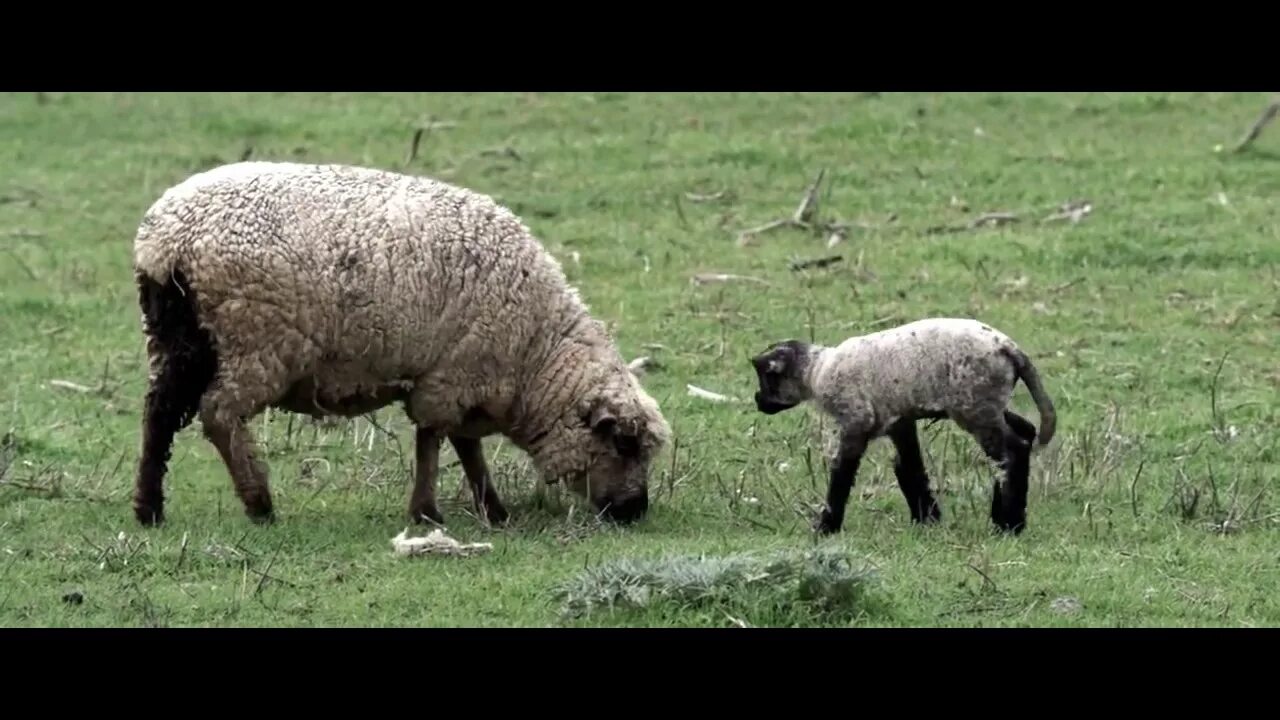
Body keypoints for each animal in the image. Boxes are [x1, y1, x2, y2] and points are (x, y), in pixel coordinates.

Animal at [128, 158, 670, 527]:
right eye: (624, 445)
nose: (635, 511)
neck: (535, 354)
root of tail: (169, 240)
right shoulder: (453, 374)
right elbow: (435, 440)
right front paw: (428, 512)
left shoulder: (463, 376)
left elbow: (464, 446)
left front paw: (491, 509)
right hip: (254, 339)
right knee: (219, 414)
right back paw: (258, 502)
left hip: (179, 338)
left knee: (159, 414)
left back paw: (148, 508)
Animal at [747, 317, 1054, 532]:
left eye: (765, 377)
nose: (758, 401)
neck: (817, 371)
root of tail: (1009, 347)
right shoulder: (899, 421)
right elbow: (910, 467)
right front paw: (927, 520)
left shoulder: (856, 420)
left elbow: (842, 473)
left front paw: (825, 527)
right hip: (989, 407)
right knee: (1025, 432)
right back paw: (1008, 518)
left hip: (975, 408)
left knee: (1011, 451)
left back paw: (1008, 524)